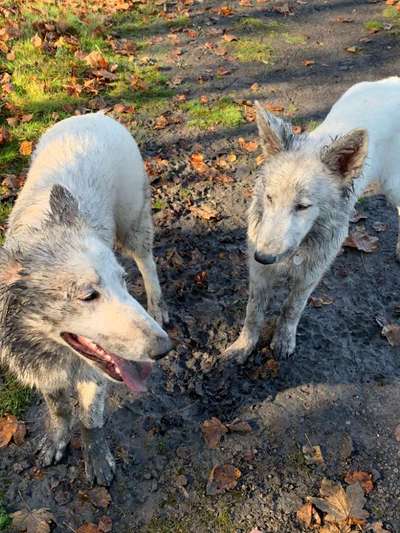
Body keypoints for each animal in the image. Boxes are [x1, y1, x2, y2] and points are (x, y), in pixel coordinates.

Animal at [0, 114, 170, 484]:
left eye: (123, 283)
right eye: (88, 295)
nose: (165, 349)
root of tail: (95, 115)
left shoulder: (93, 375)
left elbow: (91, 420)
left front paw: (97, 460)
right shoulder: (44, 372)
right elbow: (60, 409)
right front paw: (56, 440)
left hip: (135, 223)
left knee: (147, 261)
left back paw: (158, 304)